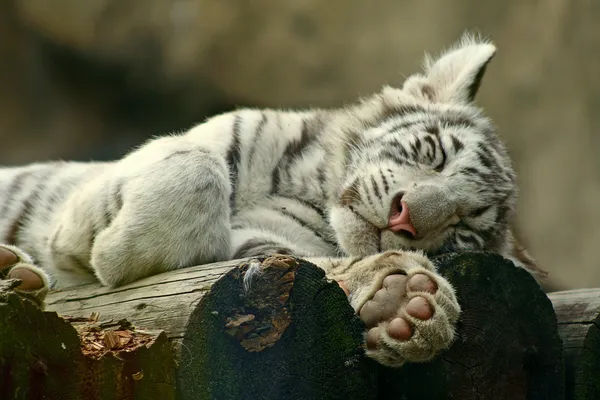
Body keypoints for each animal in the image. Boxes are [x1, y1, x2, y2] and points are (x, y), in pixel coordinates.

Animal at [0, 34, 540, 366]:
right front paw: (116, 252)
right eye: (432, 154)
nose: (404, 218)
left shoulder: (260, 248)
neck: (308, 187)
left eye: (462, 229)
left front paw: (400, 300)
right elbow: (197, 164)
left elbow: (303, 266)